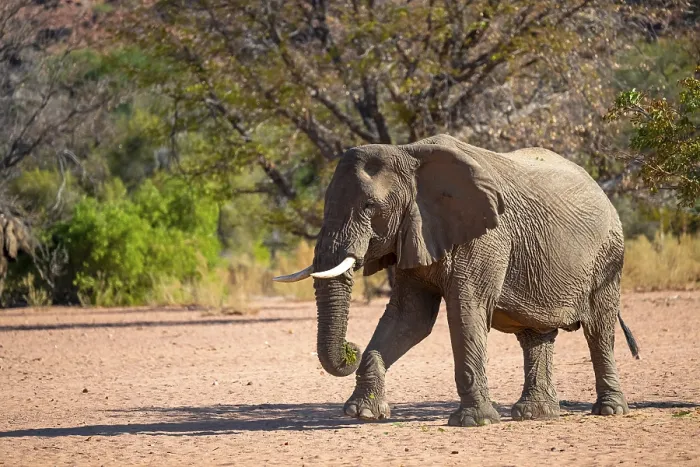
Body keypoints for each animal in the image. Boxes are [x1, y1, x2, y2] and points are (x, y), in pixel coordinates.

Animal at [274, 133, 639, 427]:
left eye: (369, 206)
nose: (350, 348)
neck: (408, 154)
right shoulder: (415, 230)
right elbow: (409, 319)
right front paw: (362, 413)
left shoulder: (485, 236)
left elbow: (466, 310)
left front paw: (474, 422)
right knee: (536, 334)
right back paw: (536, 414)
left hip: (608, 257)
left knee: (599, 330)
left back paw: (609, 410)